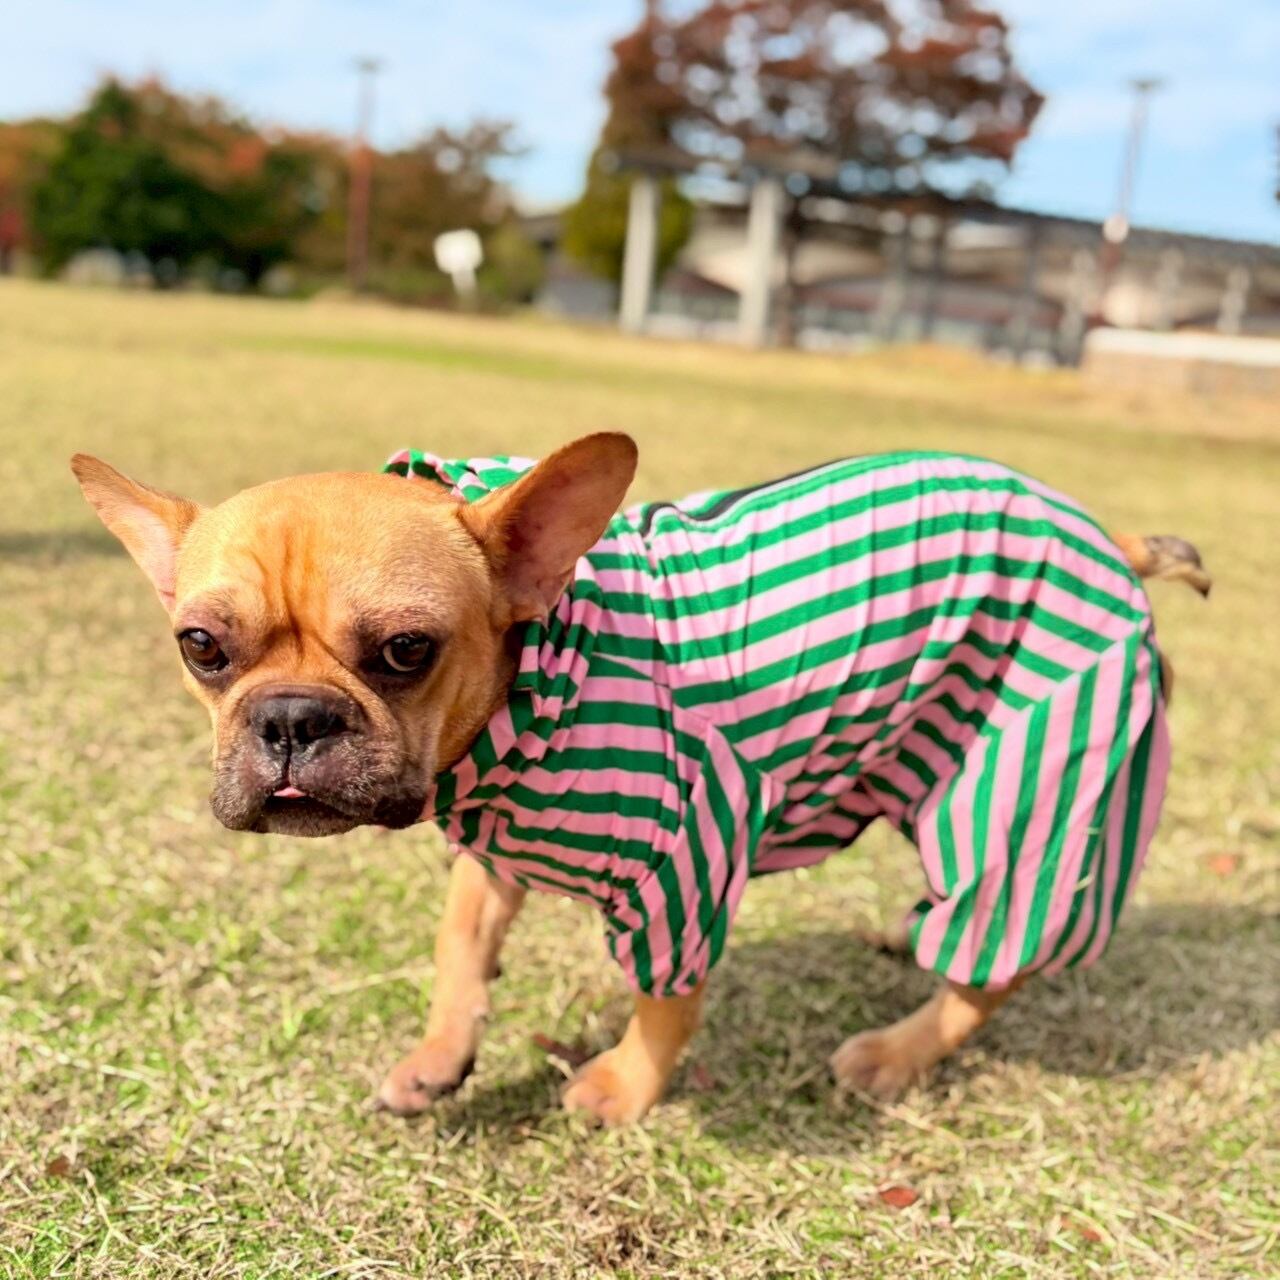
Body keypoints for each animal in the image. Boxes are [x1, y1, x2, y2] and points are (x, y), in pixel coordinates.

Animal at [72, 436, 1209, 1125]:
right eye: (202, 647)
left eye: (404, 650)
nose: (290, 718)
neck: (527, 689)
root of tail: (1108, 542)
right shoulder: (488, 857)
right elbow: (459, 956)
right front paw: (441, 1057)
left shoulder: (683, 864)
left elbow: (665, 1000)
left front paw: (622, 1088)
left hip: (1030, 776)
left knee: (996, 950)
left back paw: (893, 1051)